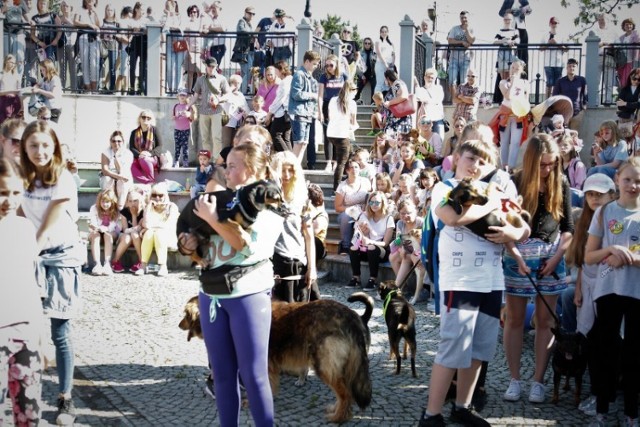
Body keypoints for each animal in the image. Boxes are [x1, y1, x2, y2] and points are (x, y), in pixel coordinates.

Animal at [178, 294, 376, 424]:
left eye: (185, 315)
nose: (179, 325)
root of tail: (353, 317)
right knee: (344, 394)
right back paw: (336, 410)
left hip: (324, 366)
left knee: (345, 394)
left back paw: (338, 417)